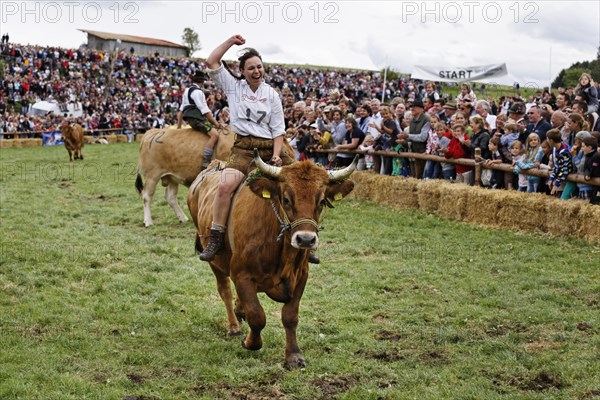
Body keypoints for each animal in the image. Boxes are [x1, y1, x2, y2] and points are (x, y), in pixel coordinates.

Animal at [188, 152, 356, 368]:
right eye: (286, 199)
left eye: (321, 201)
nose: (306, 239)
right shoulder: (242, 275)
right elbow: (257, 315)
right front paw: (250, 342)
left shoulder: (301, 277)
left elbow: (290, 316)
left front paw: (293, 356)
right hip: (213, 260)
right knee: (224, 289)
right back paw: (233, 326)